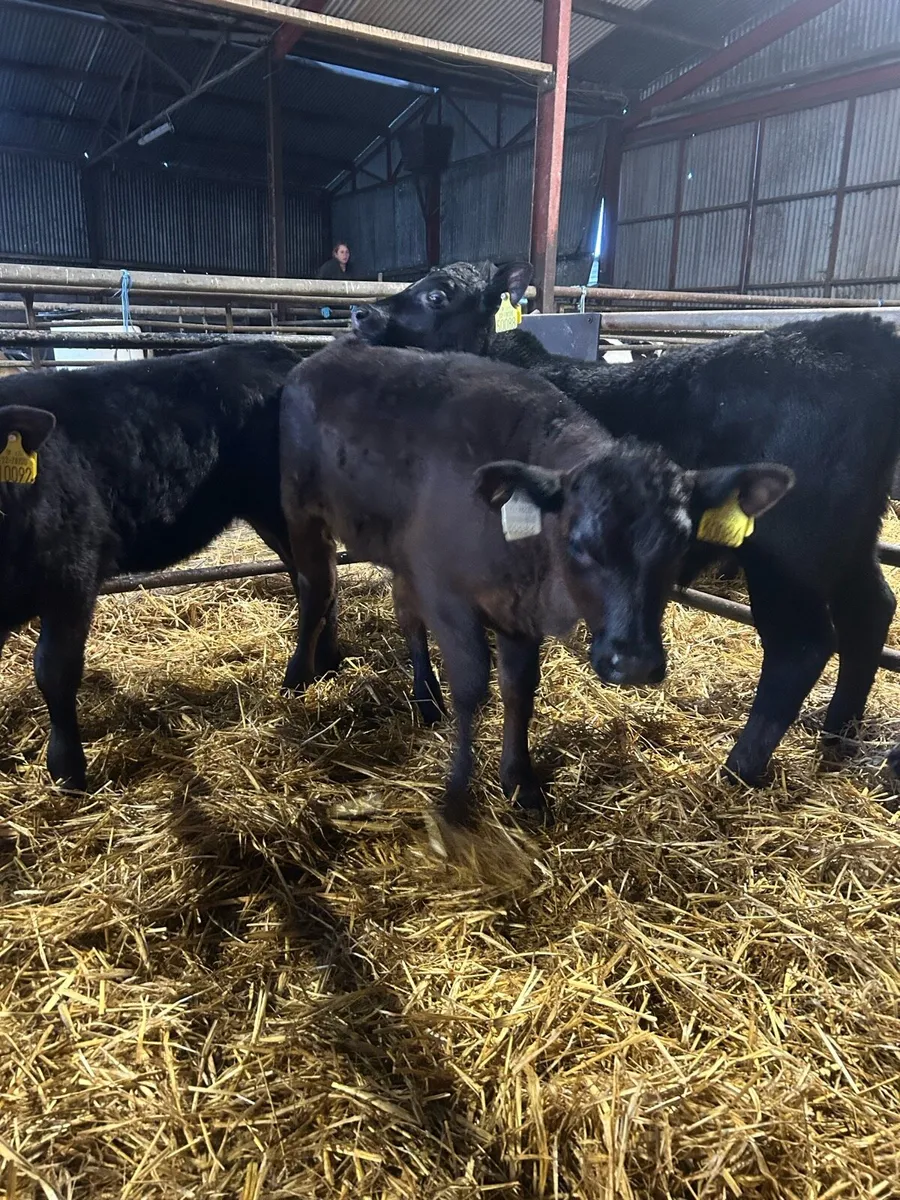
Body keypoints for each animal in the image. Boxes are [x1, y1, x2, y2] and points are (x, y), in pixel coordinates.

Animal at [0, 341, 335, 792]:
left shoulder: (72, 576)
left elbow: (54, 669)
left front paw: (67, 771)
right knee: (311, 578)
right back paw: (329, 663)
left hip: (282, 503)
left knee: (317, 581)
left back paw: (297, 679)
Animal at [278, 335, 792, 826]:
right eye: (579, 543)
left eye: (680, 544)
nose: (634, 663)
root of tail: (320, 357)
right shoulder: (446, 594)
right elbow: (473, 686)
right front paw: (458, 793)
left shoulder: (515, 611)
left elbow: (519, 689)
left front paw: (519, 780)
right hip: (302, 514)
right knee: (318, 587)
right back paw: (297, 675)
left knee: (403, 611)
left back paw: (425, 698)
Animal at [350, 263, 900, 788]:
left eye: (437, 294)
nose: (360, 313)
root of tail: (858, 333)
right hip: (850, 539)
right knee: (870, 611)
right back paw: (837, 735)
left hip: (790, 549)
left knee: (801, 644)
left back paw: (738, 769)